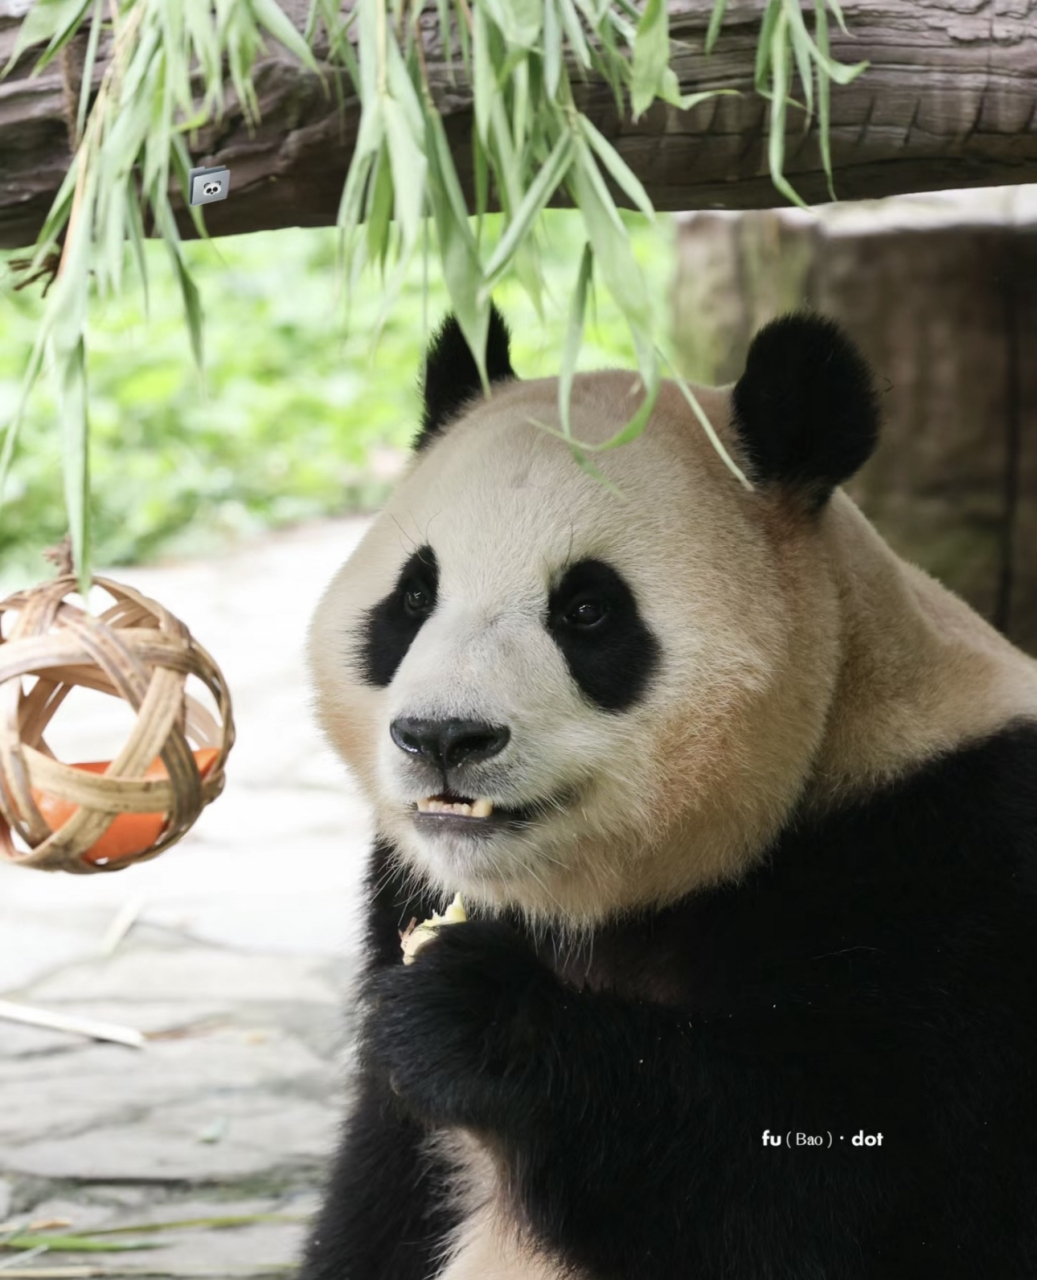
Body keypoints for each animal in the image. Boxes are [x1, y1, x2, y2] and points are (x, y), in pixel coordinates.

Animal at [294, 304, 1034, 1274]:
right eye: (413, 598)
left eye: (586, 611)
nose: (443, 737)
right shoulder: (400, 895)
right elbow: (381, 1191)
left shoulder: (955, 864)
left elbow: (842, 1174)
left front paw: (468, 1015)